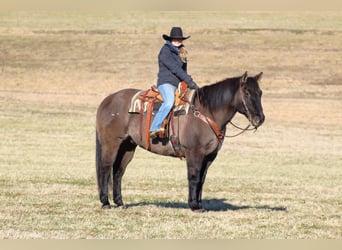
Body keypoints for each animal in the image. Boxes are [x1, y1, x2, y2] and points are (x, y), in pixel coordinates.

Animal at [95, 71, 266, 212]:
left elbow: (202, 179)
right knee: (105, 168)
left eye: (260, 93)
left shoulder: (209, 156)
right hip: (111, 144)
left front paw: (199, 204)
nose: (260, 118)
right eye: (246, 93)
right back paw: (106, 203)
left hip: (128, 146)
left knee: (118, 172)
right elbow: (194, 177)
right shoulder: (194, 153)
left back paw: (120, 202)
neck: (206, 113)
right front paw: (194, 205)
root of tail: (107, 100)